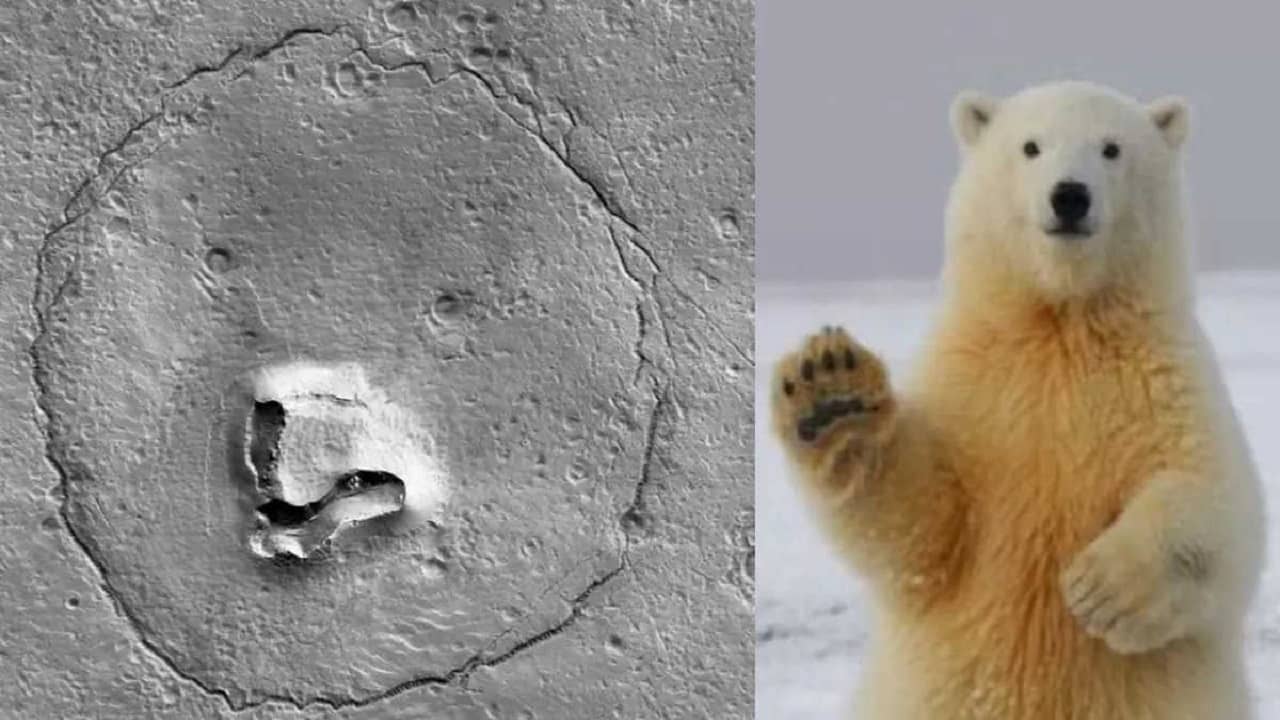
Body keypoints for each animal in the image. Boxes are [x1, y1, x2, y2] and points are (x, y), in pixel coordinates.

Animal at [769, 81, 1266, 719]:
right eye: (1031, 146)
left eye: (1112, 148)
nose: (1070, 195)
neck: (1060, 323)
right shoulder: (974, 388)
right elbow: (922, 526)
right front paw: (832, 392)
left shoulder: (1162, 379)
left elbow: (1215, 496)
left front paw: (1100, 590)